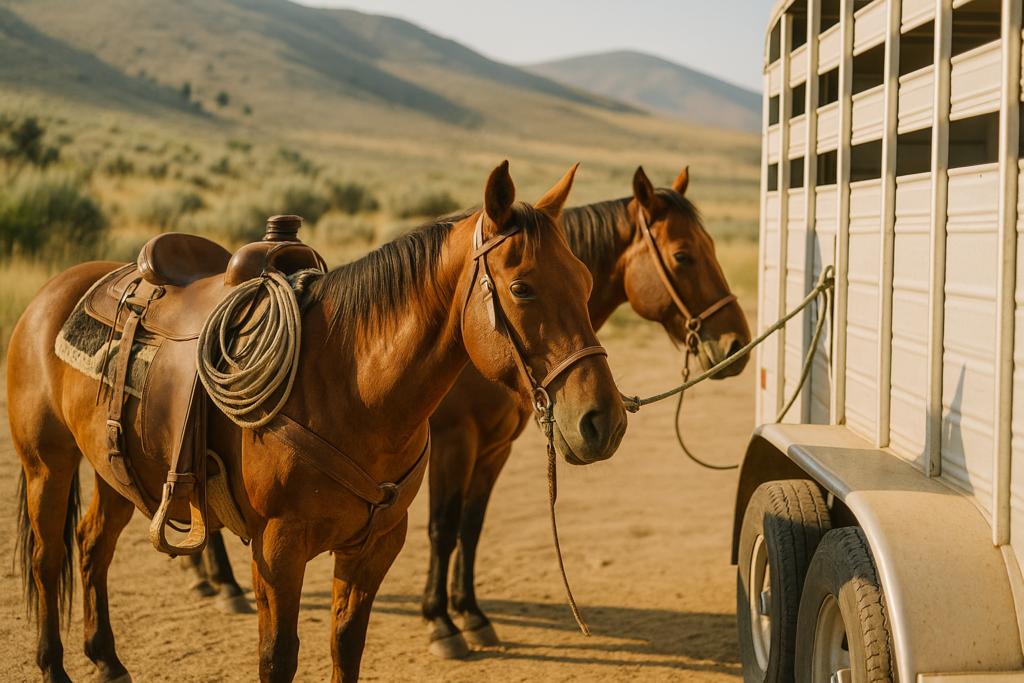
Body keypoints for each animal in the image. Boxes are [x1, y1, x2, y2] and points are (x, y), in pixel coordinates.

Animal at [8, 161, 627, 683]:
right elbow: (277, 659)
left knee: (92, 546)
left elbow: (345, 646)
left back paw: (107, 660)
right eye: (521, 287)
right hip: (48, 466)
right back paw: (54, 666)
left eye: (584, 281)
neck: (352, 390)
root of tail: (53, 291)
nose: (603, 421)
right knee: (47, 558)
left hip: (117, 469)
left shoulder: (375, 545)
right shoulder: (278, 551)